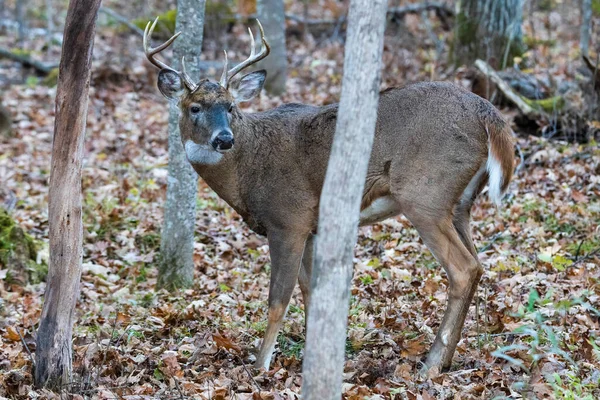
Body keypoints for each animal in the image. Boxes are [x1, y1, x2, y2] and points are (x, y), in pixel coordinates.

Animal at [144, 19, 516, 372]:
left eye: (231, 106)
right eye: (195, 108)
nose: (223, 138)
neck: (248, 167)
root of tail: (488, 114)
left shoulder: (288, 220)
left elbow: (278, 299)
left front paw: (261, 366)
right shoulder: (311, 227)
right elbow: (310, 292)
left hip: (425, 195)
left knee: (464, 268)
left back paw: (431, 364)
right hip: (461, 204)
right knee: (478, 266)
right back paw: (447, 359)